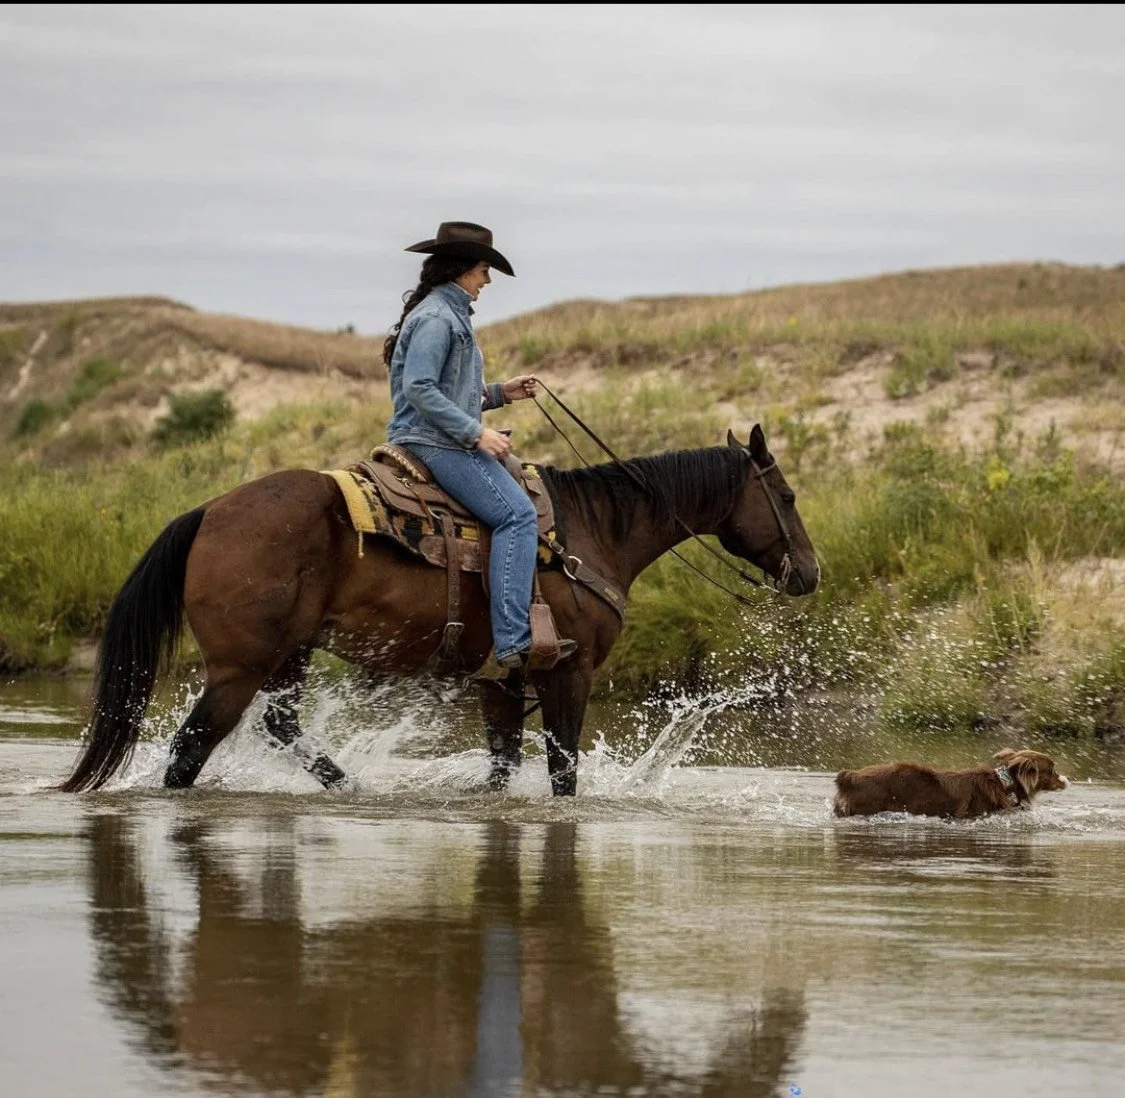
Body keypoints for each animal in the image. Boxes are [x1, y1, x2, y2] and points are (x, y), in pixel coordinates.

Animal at [59, 425, 819, 796]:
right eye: (785, 495)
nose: (810, 573)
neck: (588, 533)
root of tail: (211, 510)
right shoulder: (567, 673)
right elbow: (563, 773)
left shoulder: (500, 681)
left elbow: (501, 769)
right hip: (238, 667)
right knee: (193, 746)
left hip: (289, 654)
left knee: (279, 726)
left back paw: (348, 786)